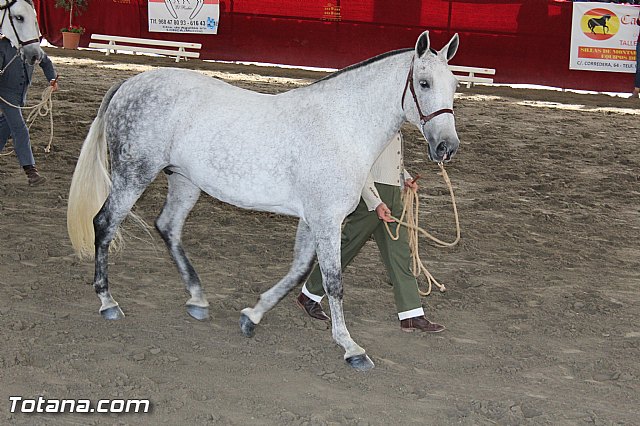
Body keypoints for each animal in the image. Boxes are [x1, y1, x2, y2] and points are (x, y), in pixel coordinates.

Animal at [67, 31, 461, 371]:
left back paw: (198, 300)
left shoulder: (312, 219)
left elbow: (298, 270)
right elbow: (333, 281)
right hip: (134, 175)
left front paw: (251, 317)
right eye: (424, 83)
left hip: (184, 181)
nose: (447, 147)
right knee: (104, 223)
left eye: (454, 85)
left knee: (168, 227)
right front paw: (351, 348)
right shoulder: (327, 219)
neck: (341, 126)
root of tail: (129, 84)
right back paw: (108, 302)